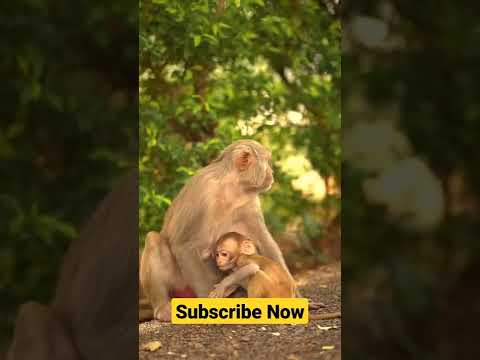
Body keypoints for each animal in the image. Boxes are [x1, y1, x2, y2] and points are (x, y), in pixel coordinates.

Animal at [140, 139, 312, 322]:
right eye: (268, 161)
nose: (271, 173)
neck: (232, 188)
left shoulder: (249, 201)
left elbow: (263, 241)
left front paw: (296, 296)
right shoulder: (203, 194)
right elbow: (183, 245)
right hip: (181, 282)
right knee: (153, 239)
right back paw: (163, 308)